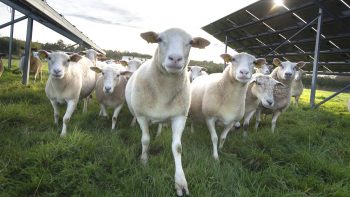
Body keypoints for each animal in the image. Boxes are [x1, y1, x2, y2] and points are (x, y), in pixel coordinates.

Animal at [124, 27, 209, 195]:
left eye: (191, 42)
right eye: (159, 39)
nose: (175, 58)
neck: (164, 91)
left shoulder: (180, 116)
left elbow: (177, 148)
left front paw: (181, 182)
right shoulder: (142, 116)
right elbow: (145, 140)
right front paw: (144, 161)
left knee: (160, 124)